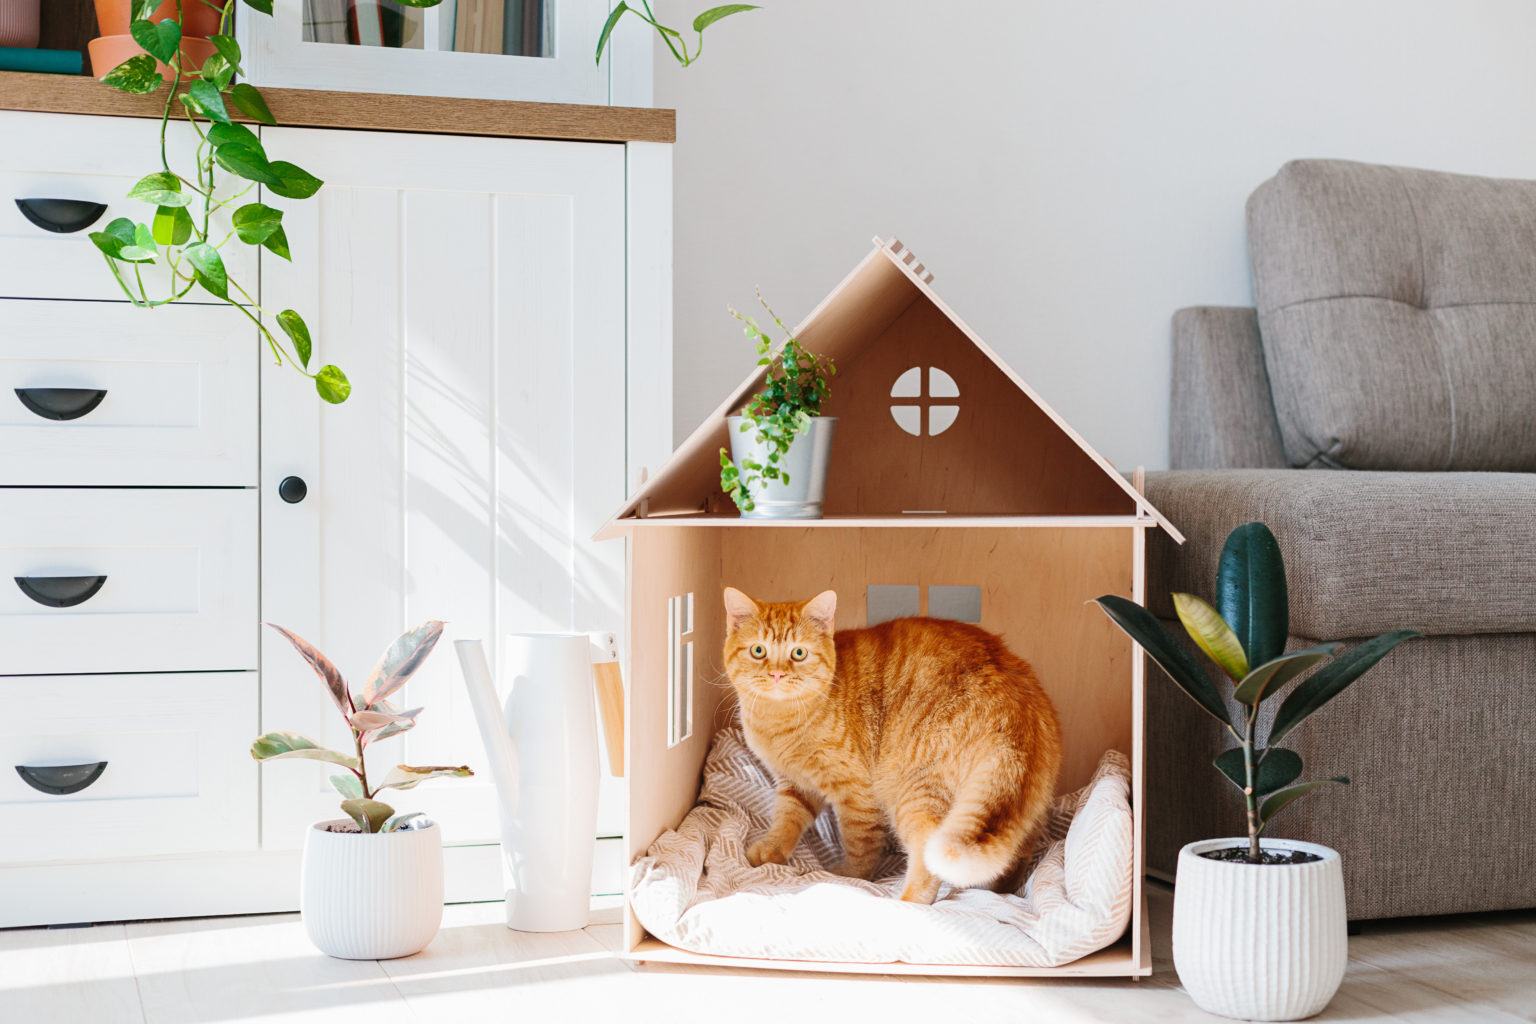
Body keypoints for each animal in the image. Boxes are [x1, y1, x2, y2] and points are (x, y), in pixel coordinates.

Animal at [721, 583, 1062, 902]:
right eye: (758, 651)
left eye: (798, 653)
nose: (777, 674)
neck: (780, 720)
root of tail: (1018, 703)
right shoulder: (795, 785)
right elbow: (786, 820)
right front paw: (772, 850)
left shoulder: (856, 793)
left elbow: (860, 846)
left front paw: (848, 877)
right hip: (1017, 811)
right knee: (1016, 854)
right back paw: (1000, 890)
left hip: (914, 793)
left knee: (926, 858)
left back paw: (909, 903)